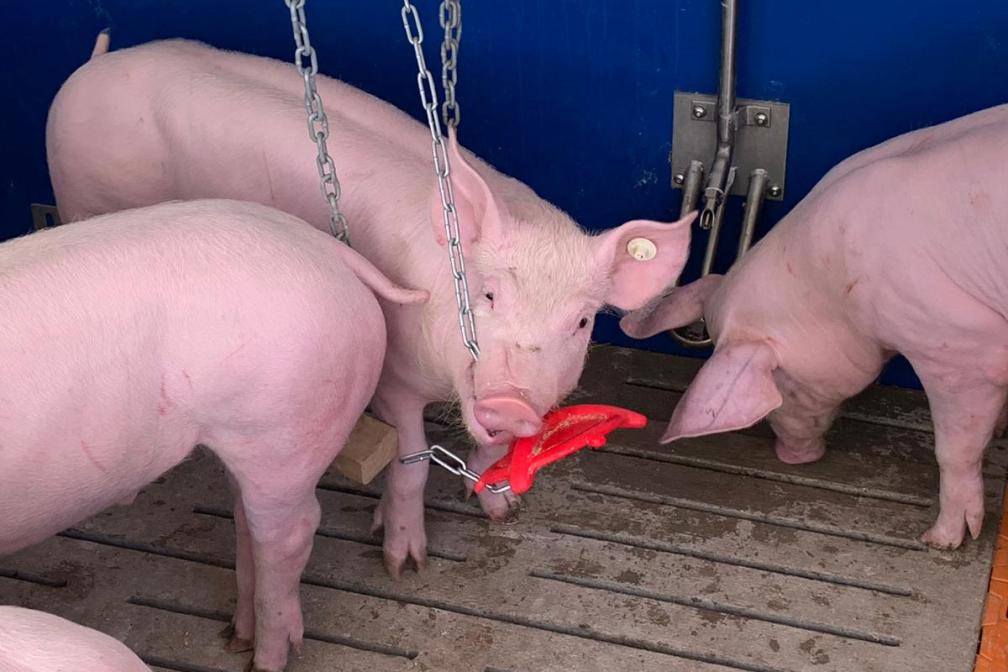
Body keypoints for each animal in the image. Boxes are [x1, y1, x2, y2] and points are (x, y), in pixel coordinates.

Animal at [45, 37, 695, 575]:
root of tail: (94, 63)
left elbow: (490, 451)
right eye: (486, 294)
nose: (511, 402)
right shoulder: (395, 377)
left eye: (581, 322)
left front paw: (501, 510)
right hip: (76, 192)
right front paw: (403, 564)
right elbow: (410, 466)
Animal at [621, 103, 1008, 550]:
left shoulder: (957, 345)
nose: (791, 456)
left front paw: (941, 539)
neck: (835, 292)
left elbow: (953, 449)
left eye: (782, 386)